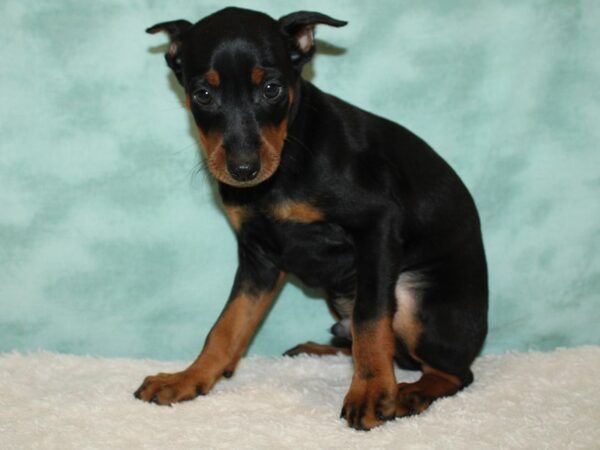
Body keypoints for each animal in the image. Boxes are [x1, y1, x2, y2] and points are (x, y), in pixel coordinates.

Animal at [135, 6, 488, 428]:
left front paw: (371, 393)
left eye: (272, 89)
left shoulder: (377, 226)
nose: (243, 170)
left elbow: (371, 320)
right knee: (364, 341)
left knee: (452, 371)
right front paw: (189, 378)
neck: (288, 157)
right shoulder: (259, 257)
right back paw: (319, 349)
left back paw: (408, 393)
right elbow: (227, 325)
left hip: (411, 297)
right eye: (202, 94)